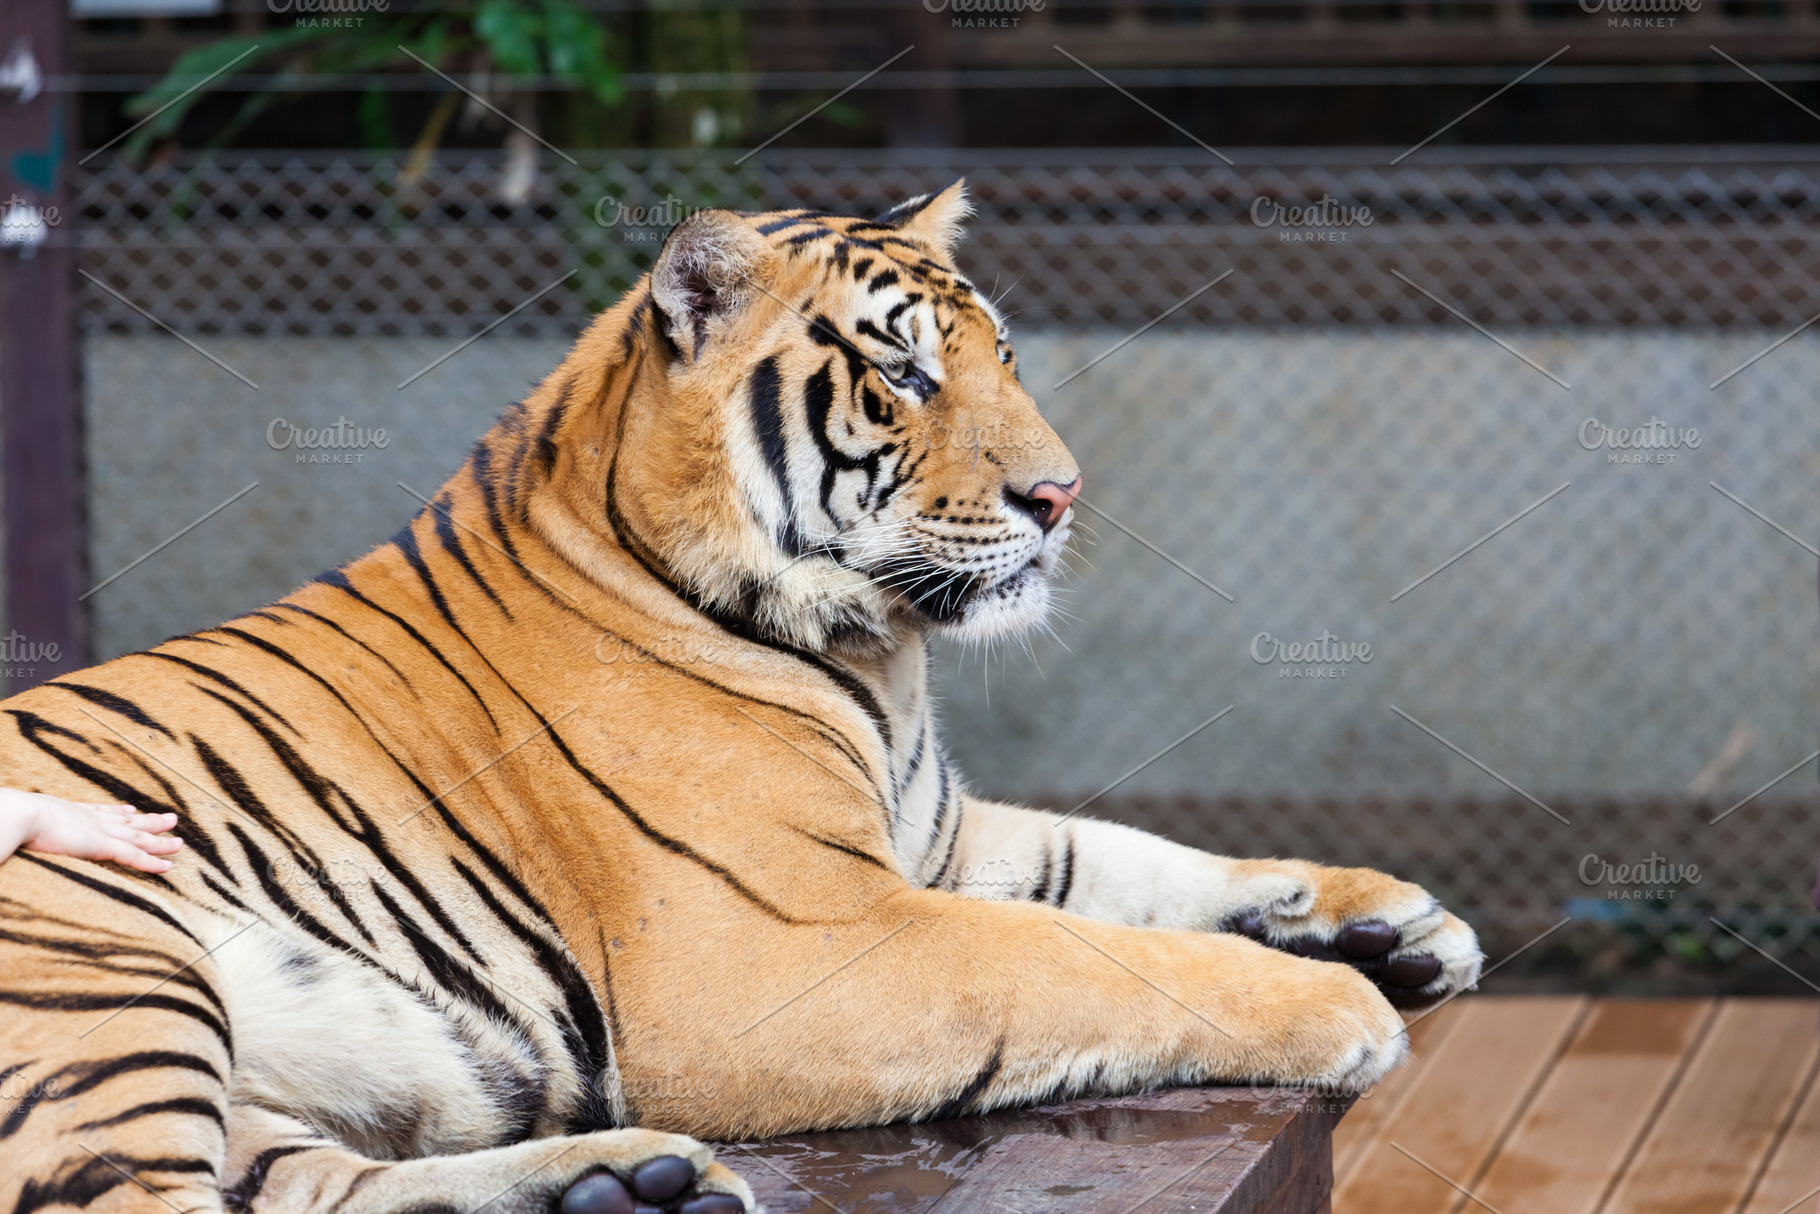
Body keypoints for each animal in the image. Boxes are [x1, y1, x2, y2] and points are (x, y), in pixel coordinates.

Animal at [0, 181, 1483, 1214]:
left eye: (1002, 357)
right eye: (903, 371)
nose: (1061, 496)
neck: (880, 659)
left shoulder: (934, 841)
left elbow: (1125, 861)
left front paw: (1391, 923)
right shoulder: (800, 944)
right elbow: (1082, 951)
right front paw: (1337, 1006)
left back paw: (617, 1184)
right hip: (110, 962)